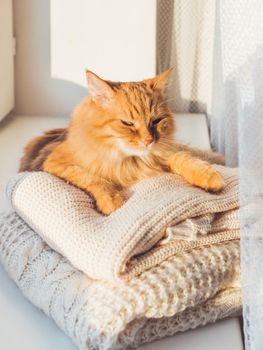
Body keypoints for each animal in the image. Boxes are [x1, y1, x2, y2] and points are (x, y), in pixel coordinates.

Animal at [19, 68, 225, 215]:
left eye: (155, 121)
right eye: (127, 123)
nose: (148, 140)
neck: (131, 160)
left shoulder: (166, 152)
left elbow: (184, 158)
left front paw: (209, 177)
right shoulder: (55, 163)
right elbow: (93, 178)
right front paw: (113, 201)